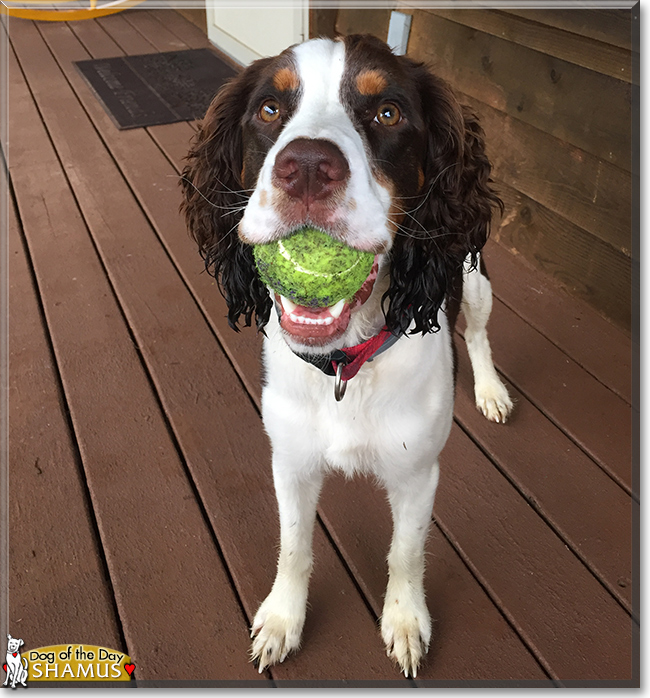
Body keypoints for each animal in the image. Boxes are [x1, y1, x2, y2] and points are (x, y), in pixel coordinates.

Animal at [181, 34, 512, 676]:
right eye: (269, 109)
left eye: (387, 112)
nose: (307, 166)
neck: (343, 365)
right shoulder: (290, 458)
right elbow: (294, 546)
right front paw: (283, 618)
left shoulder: (418, 474)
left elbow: (405, 553)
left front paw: (405, 621)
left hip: (474, 278)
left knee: (480, 334)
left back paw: (489, 390)